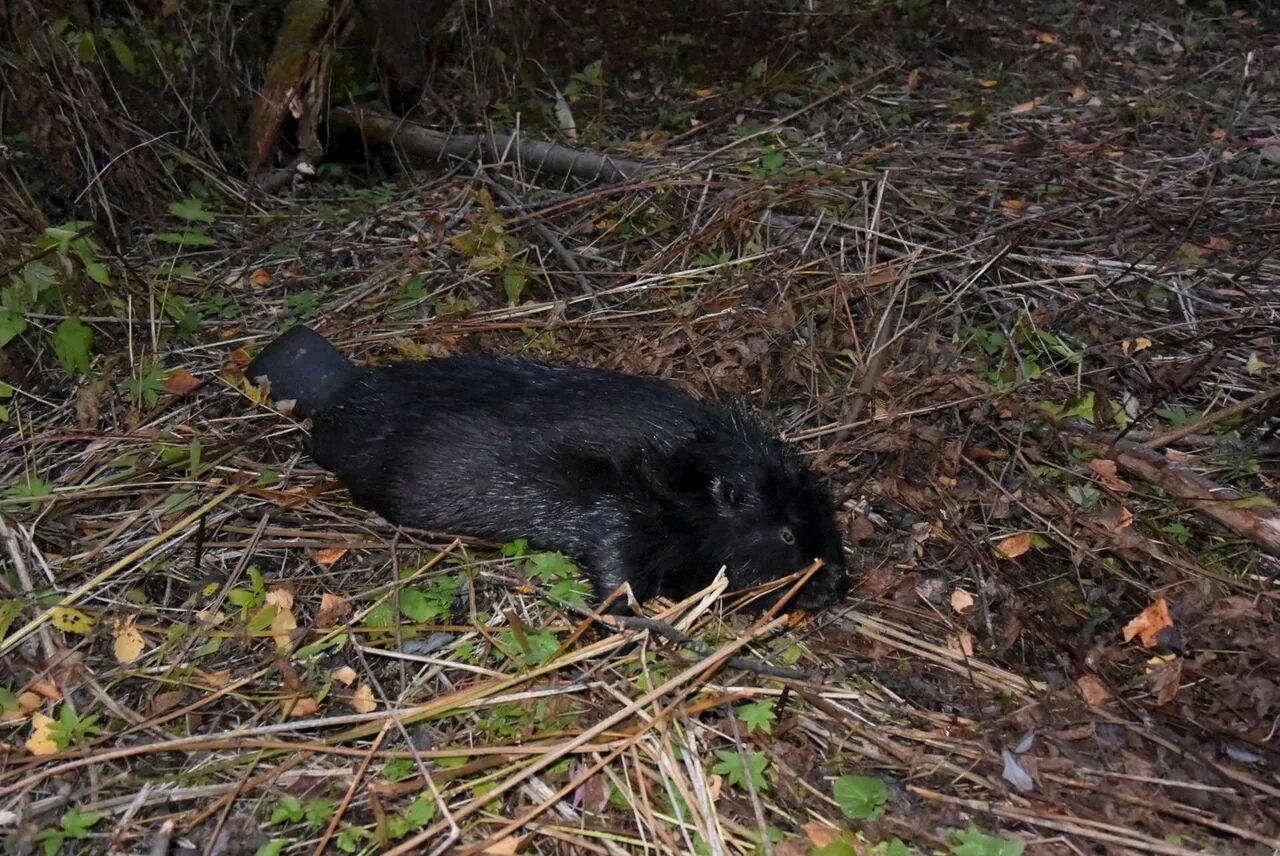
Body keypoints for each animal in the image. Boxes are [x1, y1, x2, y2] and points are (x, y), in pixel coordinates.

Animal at [247, 323, 849, 611]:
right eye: (787, 533)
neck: (685, 472)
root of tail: (341, 395)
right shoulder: (620, 505)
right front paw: (633, 614)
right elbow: (614, 562)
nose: (835, 586)